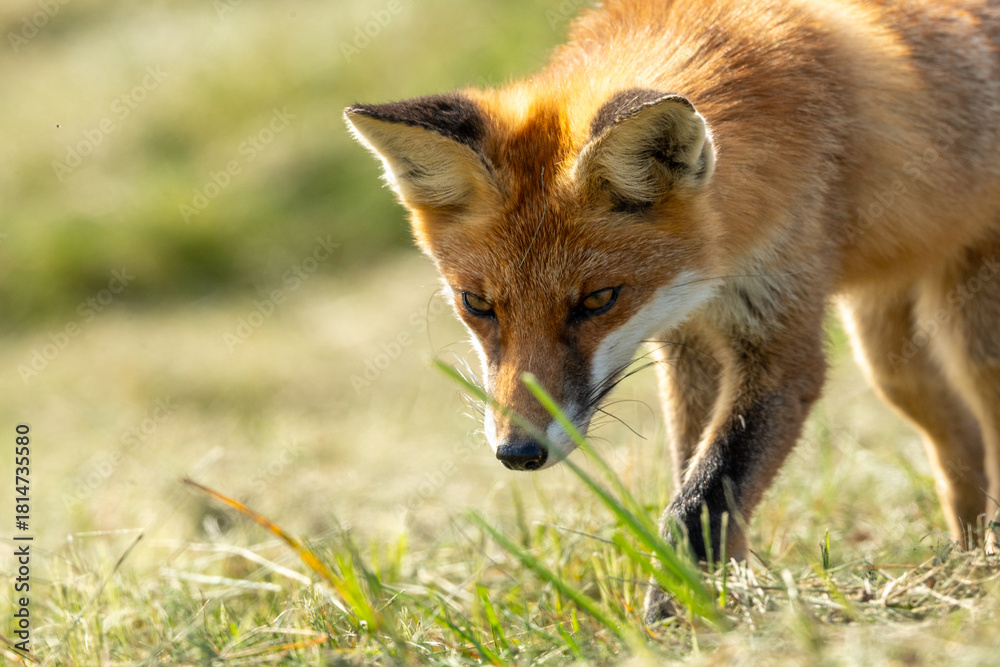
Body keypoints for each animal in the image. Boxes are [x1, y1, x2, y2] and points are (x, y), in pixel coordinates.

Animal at [345, 0, 1000, 621]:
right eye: (477, 304)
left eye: (598, 300)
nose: (519, 454)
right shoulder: (688, 344)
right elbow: (698, 480)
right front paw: (719, 592)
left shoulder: (781, 343)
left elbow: (704, 497)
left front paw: (674, 620)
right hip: (886, 352)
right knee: (957, 434)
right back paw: (966, 557)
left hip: (972, 339)